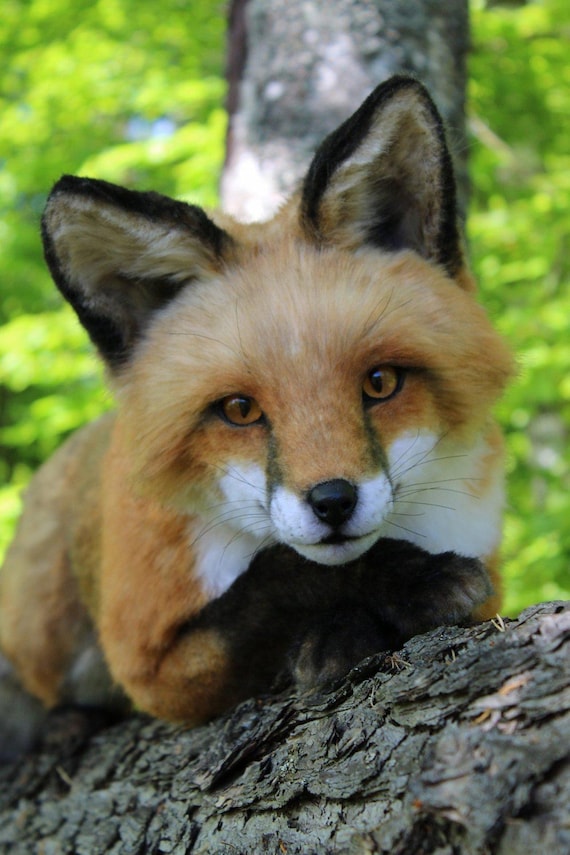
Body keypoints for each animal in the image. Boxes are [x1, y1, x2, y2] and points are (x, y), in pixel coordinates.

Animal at [0, 77, 513, 746]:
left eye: (380, 382)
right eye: (240, 410)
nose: (332, 503)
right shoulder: (152, 668)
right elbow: (277, 577)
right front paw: (392, 595)